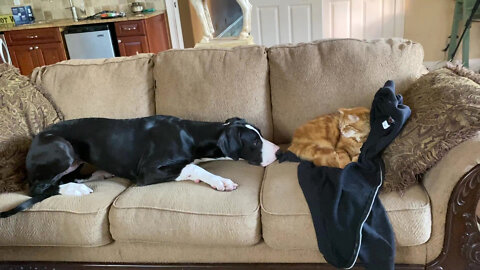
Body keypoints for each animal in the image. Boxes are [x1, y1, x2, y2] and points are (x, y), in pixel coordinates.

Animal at [0, 115, 280, 217]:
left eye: (260, 133)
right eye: (254, 141)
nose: (279, 151)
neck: (190, 134)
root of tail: (35, 139)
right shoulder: (148, 172)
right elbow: (192, 167)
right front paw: (220, 180)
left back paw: (97, 174)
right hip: (62, 148)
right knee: (38, 188)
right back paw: (74, 189)